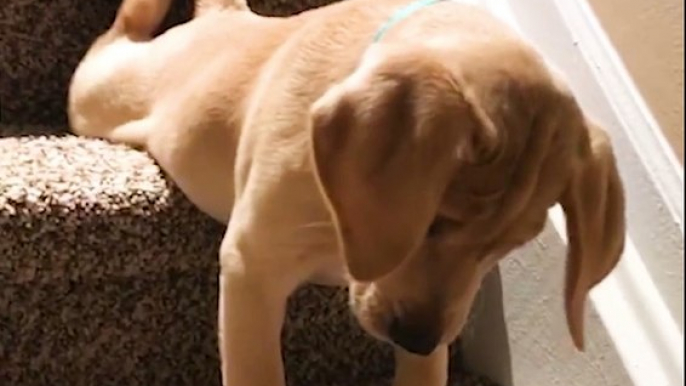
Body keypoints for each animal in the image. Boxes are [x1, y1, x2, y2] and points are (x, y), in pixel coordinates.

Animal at [70, 0, 628, 384]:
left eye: (513, 244)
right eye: (434, 220)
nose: (417, 338)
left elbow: (425, 373)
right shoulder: (254, 268)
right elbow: (258, 371)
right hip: (100, 93)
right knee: (112, 38)